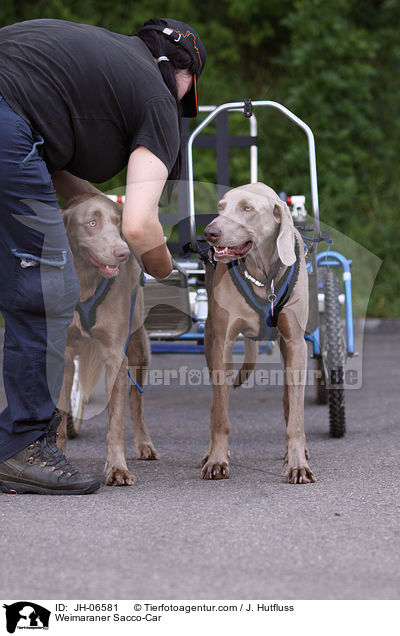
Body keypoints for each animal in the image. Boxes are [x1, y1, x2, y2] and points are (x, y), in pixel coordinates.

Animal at [57, 191, 158, 484]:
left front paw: (117, 468)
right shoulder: (63, 352)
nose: (122, 253)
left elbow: (116, 420)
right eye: (92, 223)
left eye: (117, 224)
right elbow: (59, 411)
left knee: (136, 402)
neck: (86, 283)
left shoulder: (116, 355)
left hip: (138, 346)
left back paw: (144, 444)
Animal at [203, 181, 316, 484]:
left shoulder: (296, 342)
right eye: (221, 207)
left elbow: (296, 416)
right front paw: (217, 460)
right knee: (215, 403)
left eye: (247, 208)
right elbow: (220, 414)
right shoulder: (222, 344)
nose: (210, 232)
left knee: (289, 399)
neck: (262, 275)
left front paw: (297, 464)